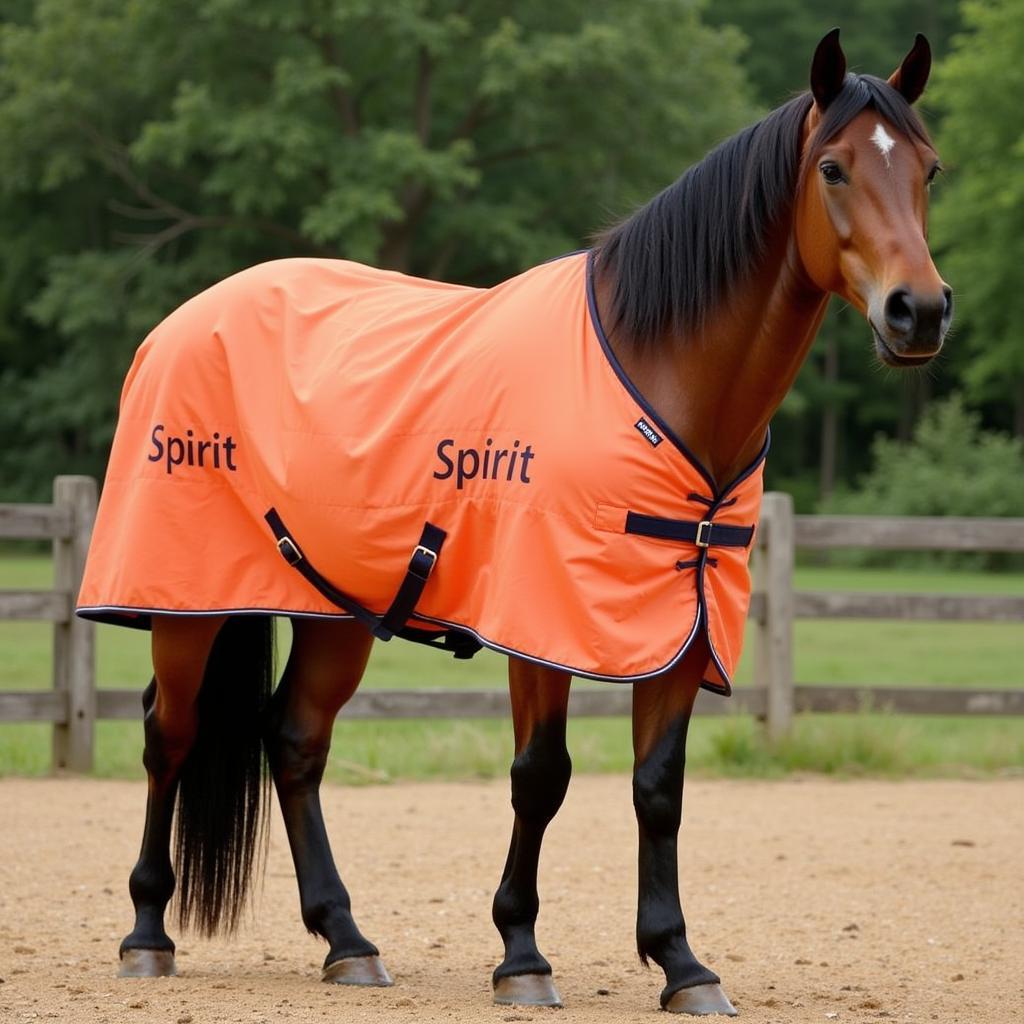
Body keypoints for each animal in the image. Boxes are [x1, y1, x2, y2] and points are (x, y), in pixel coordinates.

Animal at [77, 29, 950, 1015]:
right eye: (834, 168)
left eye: (929, 169)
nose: (919, 311)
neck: (656, 373)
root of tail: (187, 318)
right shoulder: (543, 627)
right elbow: (541, 778)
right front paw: (522, 956)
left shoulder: (681, 629)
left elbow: (659, 789)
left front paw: (682, 964)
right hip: (186, 603)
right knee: (169, 733)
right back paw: (147, 934)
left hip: (336, 611)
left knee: (295, 743)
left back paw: (348, 940)